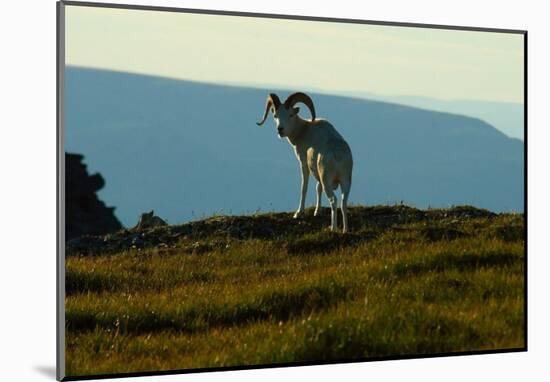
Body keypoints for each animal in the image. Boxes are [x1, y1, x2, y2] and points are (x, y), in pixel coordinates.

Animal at [258, 92, 354, 233]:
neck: (303, 130)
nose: (280, 129)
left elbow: (304, 187)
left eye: (290, 115)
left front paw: (298, 213)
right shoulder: (317, 174)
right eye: (275, 115)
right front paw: (317, 211)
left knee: (334, 200)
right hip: (346, 182)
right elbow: (318, 188)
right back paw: (345, 230)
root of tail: (338, 155)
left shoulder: (304, 163)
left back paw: (333, 228)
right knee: (343, 202)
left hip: (328, 181)